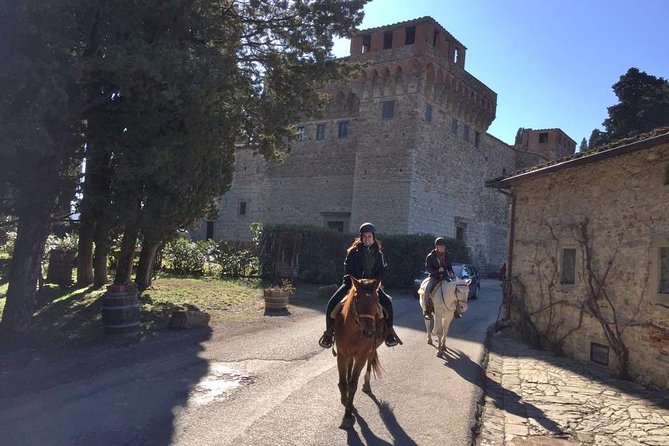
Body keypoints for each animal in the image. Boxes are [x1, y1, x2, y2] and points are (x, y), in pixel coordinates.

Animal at [332, 278, 384, 428]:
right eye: (357, 299)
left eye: (376, 299)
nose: (369, 332)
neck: (354, 331)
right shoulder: (342, 354)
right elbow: (343, 382)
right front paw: (344, 400)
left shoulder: (362, 355)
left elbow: (353, 384)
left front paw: (348, 414)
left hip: (371, 350)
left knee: (370, 362)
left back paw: (367, 385)